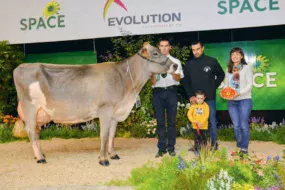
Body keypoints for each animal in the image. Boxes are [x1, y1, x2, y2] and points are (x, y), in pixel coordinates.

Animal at [13, 42, 178, 166]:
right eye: (155, 53)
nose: (175, 66)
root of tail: (21, 66)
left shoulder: (115, 112)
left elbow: (112, 134)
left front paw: (113, 154)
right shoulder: (105, 109)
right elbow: (104, 135)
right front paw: (103, 159)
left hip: (39, 112)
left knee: (36, 131)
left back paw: (40, 154)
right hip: (30, 107)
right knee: (31, 131)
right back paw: (40, 158)